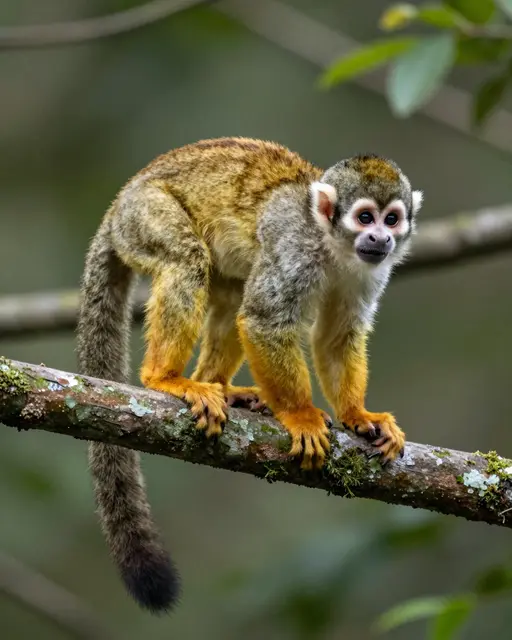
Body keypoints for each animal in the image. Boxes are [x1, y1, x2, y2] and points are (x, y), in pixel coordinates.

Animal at [76, 137, 423, 614]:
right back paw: (165, 377)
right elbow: (264, 320)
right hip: (144, 215)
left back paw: (220, 386)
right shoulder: (295, 250)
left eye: (392, 218)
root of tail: (118, 204)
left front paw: (358, 415)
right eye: (365, 217)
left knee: (230, 288)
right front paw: (301, 415)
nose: (381, 238)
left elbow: (337, 337)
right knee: (188, 260)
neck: (333, 246)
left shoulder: (370, 270)